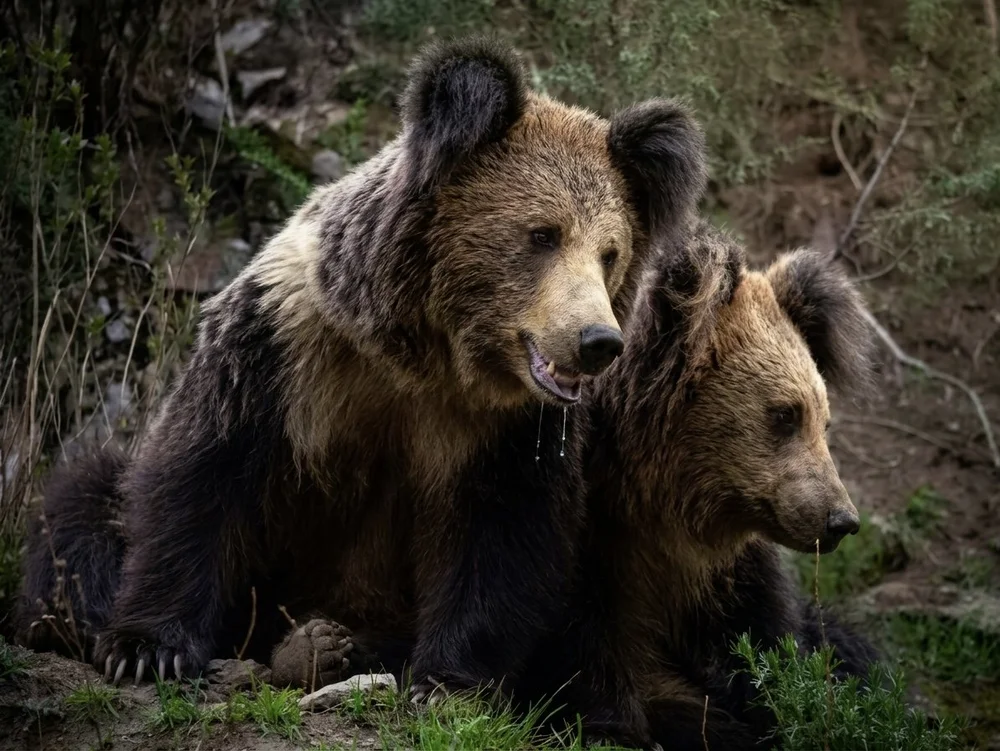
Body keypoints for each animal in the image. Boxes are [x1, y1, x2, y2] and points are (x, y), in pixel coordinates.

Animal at [13, 33, 708, 708]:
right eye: (543, 234)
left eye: (610, 252)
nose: (597, 341)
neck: (421, 352)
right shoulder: (285, 346)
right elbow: (203, 473)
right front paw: (146, 649)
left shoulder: (509, 427)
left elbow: (501, 538)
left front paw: (447, 683)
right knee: (83, 507)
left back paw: (323, 647)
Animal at [265, 219, 880, 750]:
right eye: (784, 415)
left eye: (822, 419)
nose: (841, 519)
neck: (662, 501)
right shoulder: (589, 533)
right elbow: (578, 643)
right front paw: (618, 725)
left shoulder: (724, 571)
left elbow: (767, 642)